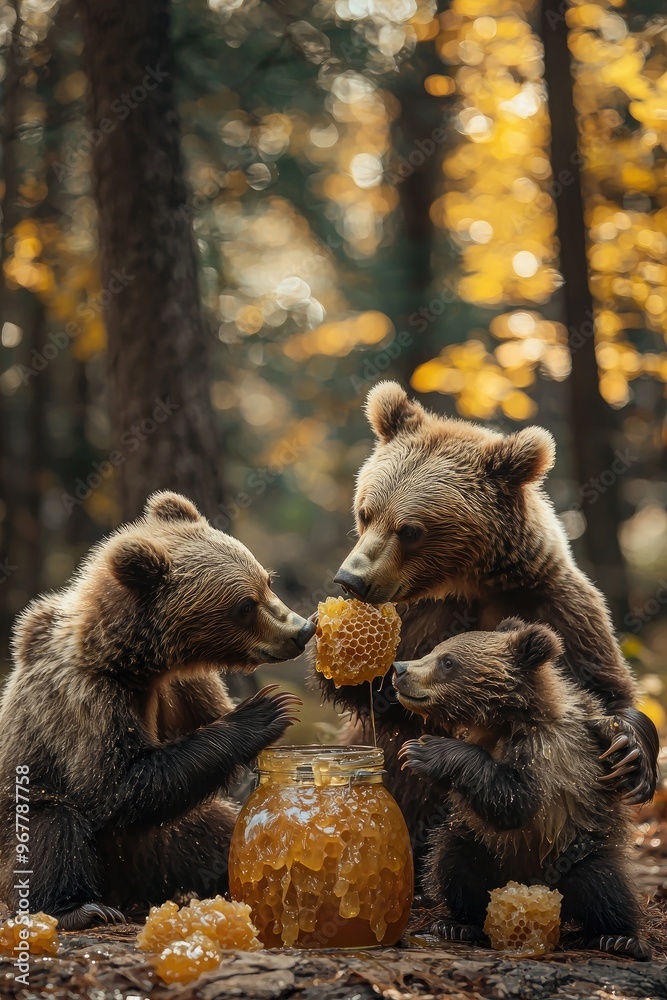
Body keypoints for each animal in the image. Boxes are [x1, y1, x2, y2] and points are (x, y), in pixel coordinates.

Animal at [0, 491, 315, 930]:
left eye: (267, 581)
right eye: (244, 606)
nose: (302, 630)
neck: (138, 664)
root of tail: (131, 889)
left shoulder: (182, 688)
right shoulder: (89, 699)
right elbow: (118, 783)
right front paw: (268, 710)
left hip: (174, 835)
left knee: (219, 831)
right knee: (52, 824)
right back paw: (79, 908)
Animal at [318, 381, 658, 872]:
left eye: (411, 529)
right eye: (366, 511)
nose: (351, 580)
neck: (472, 582)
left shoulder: (553, 602)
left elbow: (601, 687)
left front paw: (627, 750)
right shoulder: (421, 616)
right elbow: (386, 701)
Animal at [394, 618, 650, 961]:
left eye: (448, 661)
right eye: (434, 650)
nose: (399, 669)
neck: (508, 718)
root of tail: (528, 884)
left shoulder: (549, 755)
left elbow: (517, 802)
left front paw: (423, 750)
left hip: (577, 848)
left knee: (605, 885)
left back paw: (618, 938)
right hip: (483, 847)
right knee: (452, 860)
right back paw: (458, 924)